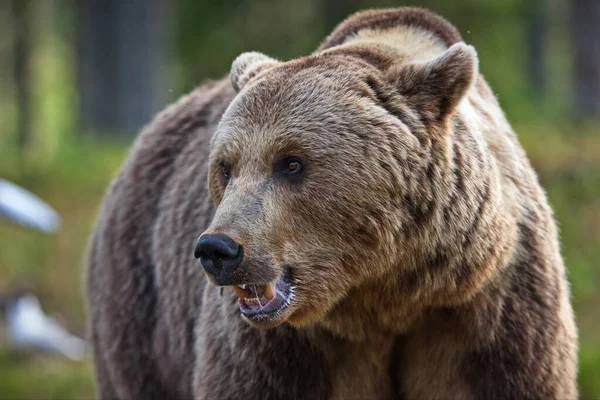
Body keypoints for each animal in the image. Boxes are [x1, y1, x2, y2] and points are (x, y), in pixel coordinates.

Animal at [86, 7, 580, 400]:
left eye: (291, 162)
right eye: (225, 167)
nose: (218, 250)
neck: (384, 293)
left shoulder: (485, 309)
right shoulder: (290, 350)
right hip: (140, 303)